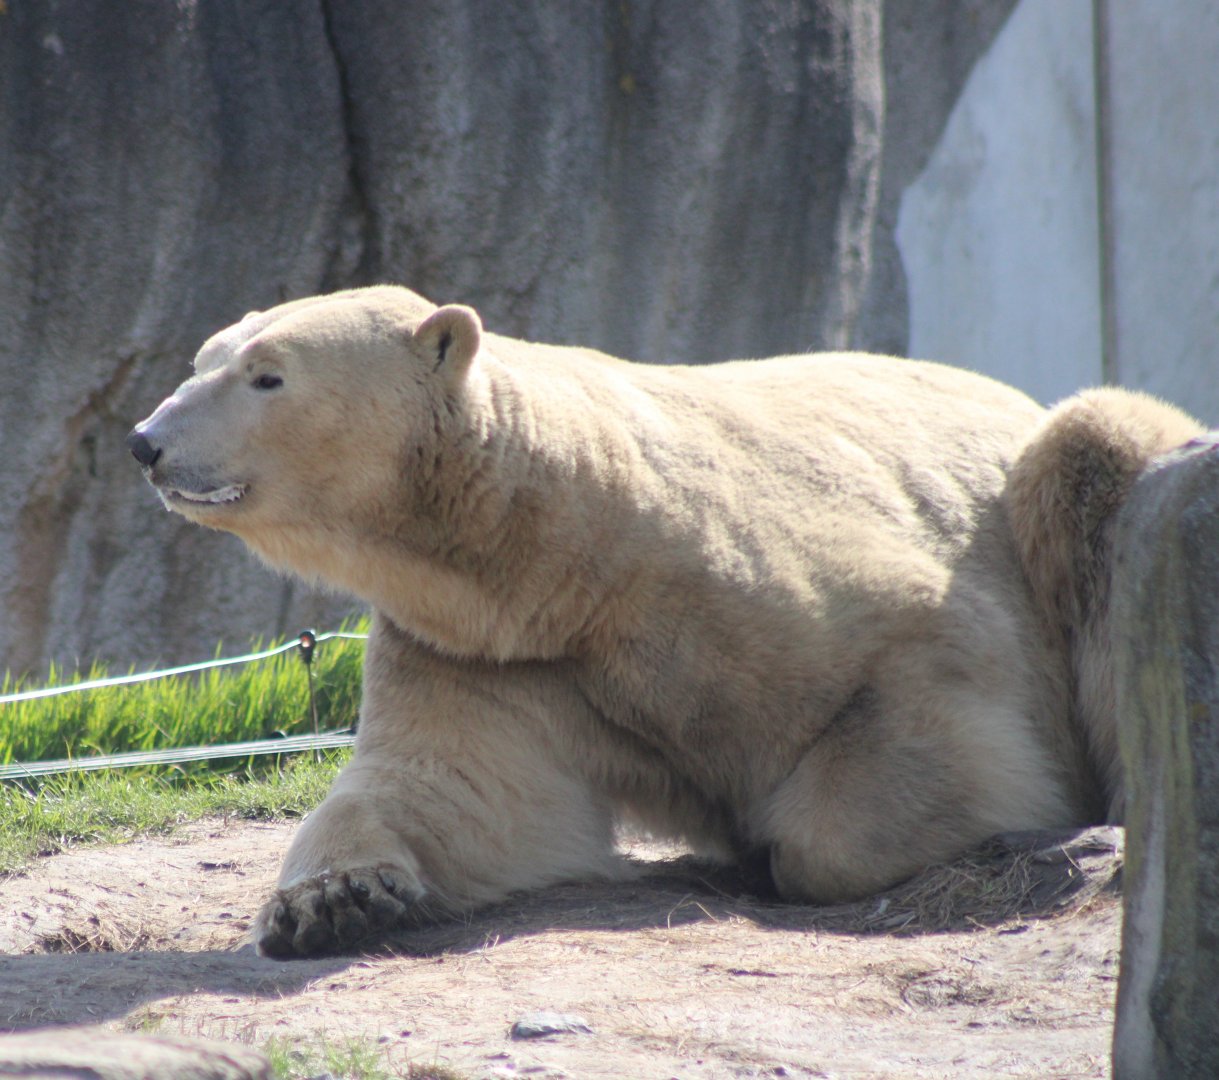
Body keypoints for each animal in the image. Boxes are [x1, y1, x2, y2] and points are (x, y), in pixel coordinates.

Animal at [126, 285, 1203, 958]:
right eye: (205, 358)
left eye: (267, 374)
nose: (146, 441)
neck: (576, 540)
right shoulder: (488, 645)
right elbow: (451, 789)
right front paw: (335, 901)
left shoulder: (792, 586)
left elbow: (913, 718)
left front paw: (775, 847)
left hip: (1055, 477)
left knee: (1099, 450)